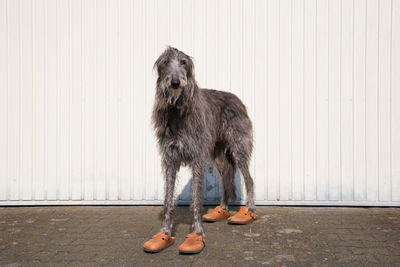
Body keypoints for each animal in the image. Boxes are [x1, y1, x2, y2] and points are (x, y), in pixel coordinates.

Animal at [152, 47, 255, 238]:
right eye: (165, 62)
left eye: (183, 62)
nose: (176, 82)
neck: (178, 112)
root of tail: (237, 99)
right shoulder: (170, 159)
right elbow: (168, 198)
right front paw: (165, 231)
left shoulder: (197, 158)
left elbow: (196, 197)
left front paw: (197, 231)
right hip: (218, 153)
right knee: (226, 175)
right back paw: (221, 210)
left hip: (239, 147)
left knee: (249, 179)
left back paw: (249, 211)